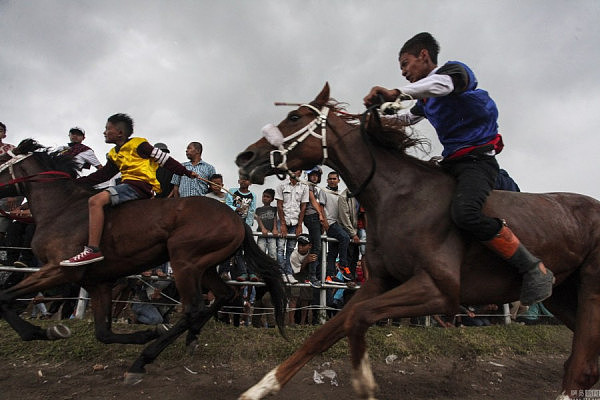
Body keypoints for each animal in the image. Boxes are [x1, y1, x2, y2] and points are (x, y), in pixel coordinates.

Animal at [0, 139, 288, 382]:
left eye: (1, 156)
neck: (62, 209)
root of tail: (237, 218)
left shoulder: (59, 270)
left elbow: (4, 297)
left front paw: (41, 332)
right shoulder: (98, 283)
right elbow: (103, 333)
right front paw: (145, 333)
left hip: (184, 262)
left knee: (193, 308)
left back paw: (143, 359)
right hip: (203, 266)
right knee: (225, 295)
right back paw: (190, 337)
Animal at [237, 82, 600, 400]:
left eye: (294, 116)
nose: (246, 156)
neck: (399, 196)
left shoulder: (439, 290)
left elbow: (357, 318)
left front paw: (364, 382)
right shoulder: (379, 282)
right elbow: (324, 333)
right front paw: (261, 387)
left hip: (590, 290)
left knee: (581, 365)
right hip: (563, 295)